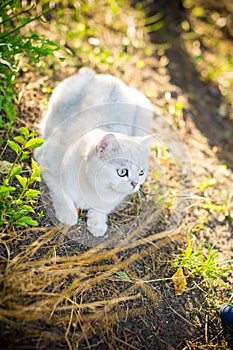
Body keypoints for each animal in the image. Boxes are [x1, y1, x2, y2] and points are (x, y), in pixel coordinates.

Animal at [34, 67, 154, 238]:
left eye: (141, 172)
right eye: (122, 172)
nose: (135, 183)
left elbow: (102, 208)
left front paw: (97, 224)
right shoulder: (46, 162)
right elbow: (61, 192)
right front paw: (68, 215)